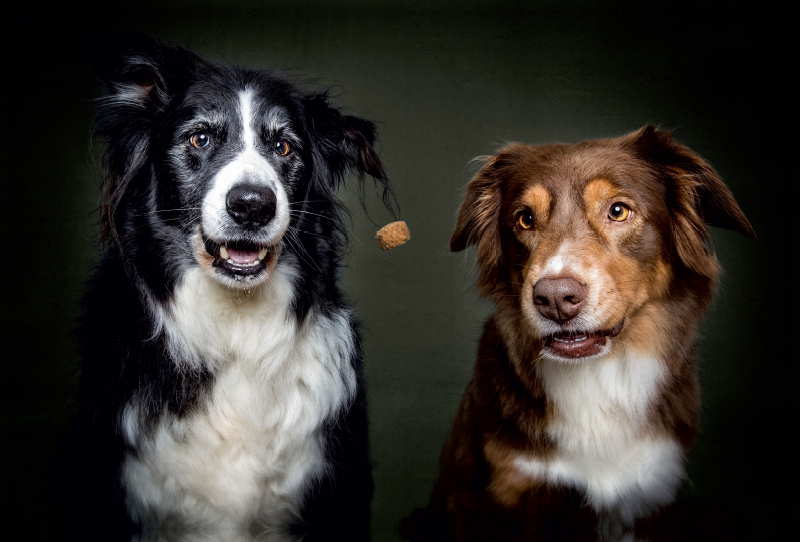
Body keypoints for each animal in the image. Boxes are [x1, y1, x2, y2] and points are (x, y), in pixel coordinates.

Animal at [404, 126, 752, 542]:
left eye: (618, 211)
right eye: (524, 219)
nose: (555, 299)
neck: (597, 377)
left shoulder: (646, 492)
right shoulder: (507, 490)